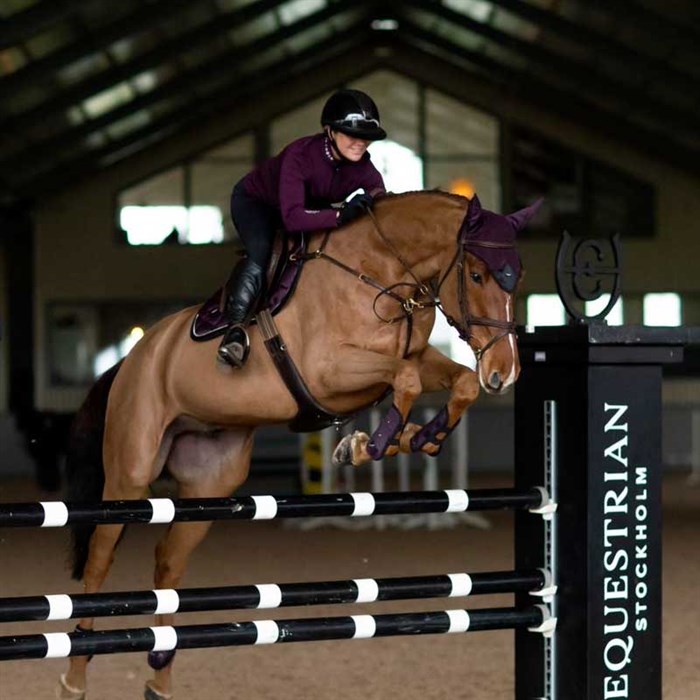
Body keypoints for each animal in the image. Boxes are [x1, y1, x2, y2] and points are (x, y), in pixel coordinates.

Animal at [57, 191, 540, 700]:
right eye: (477, 275)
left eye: (518, 275)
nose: (505, 372)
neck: (380, 269)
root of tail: (134, 356)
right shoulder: (329, 371)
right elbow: (405, 379)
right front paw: (368, 444)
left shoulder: (411, 359)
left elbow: (456, 381)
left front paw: (414, 438)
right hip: (129, 477)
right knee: (100, 558)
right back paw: (74, 677)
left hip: (211, 483)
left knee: (168, 562)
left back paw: (161, 676)